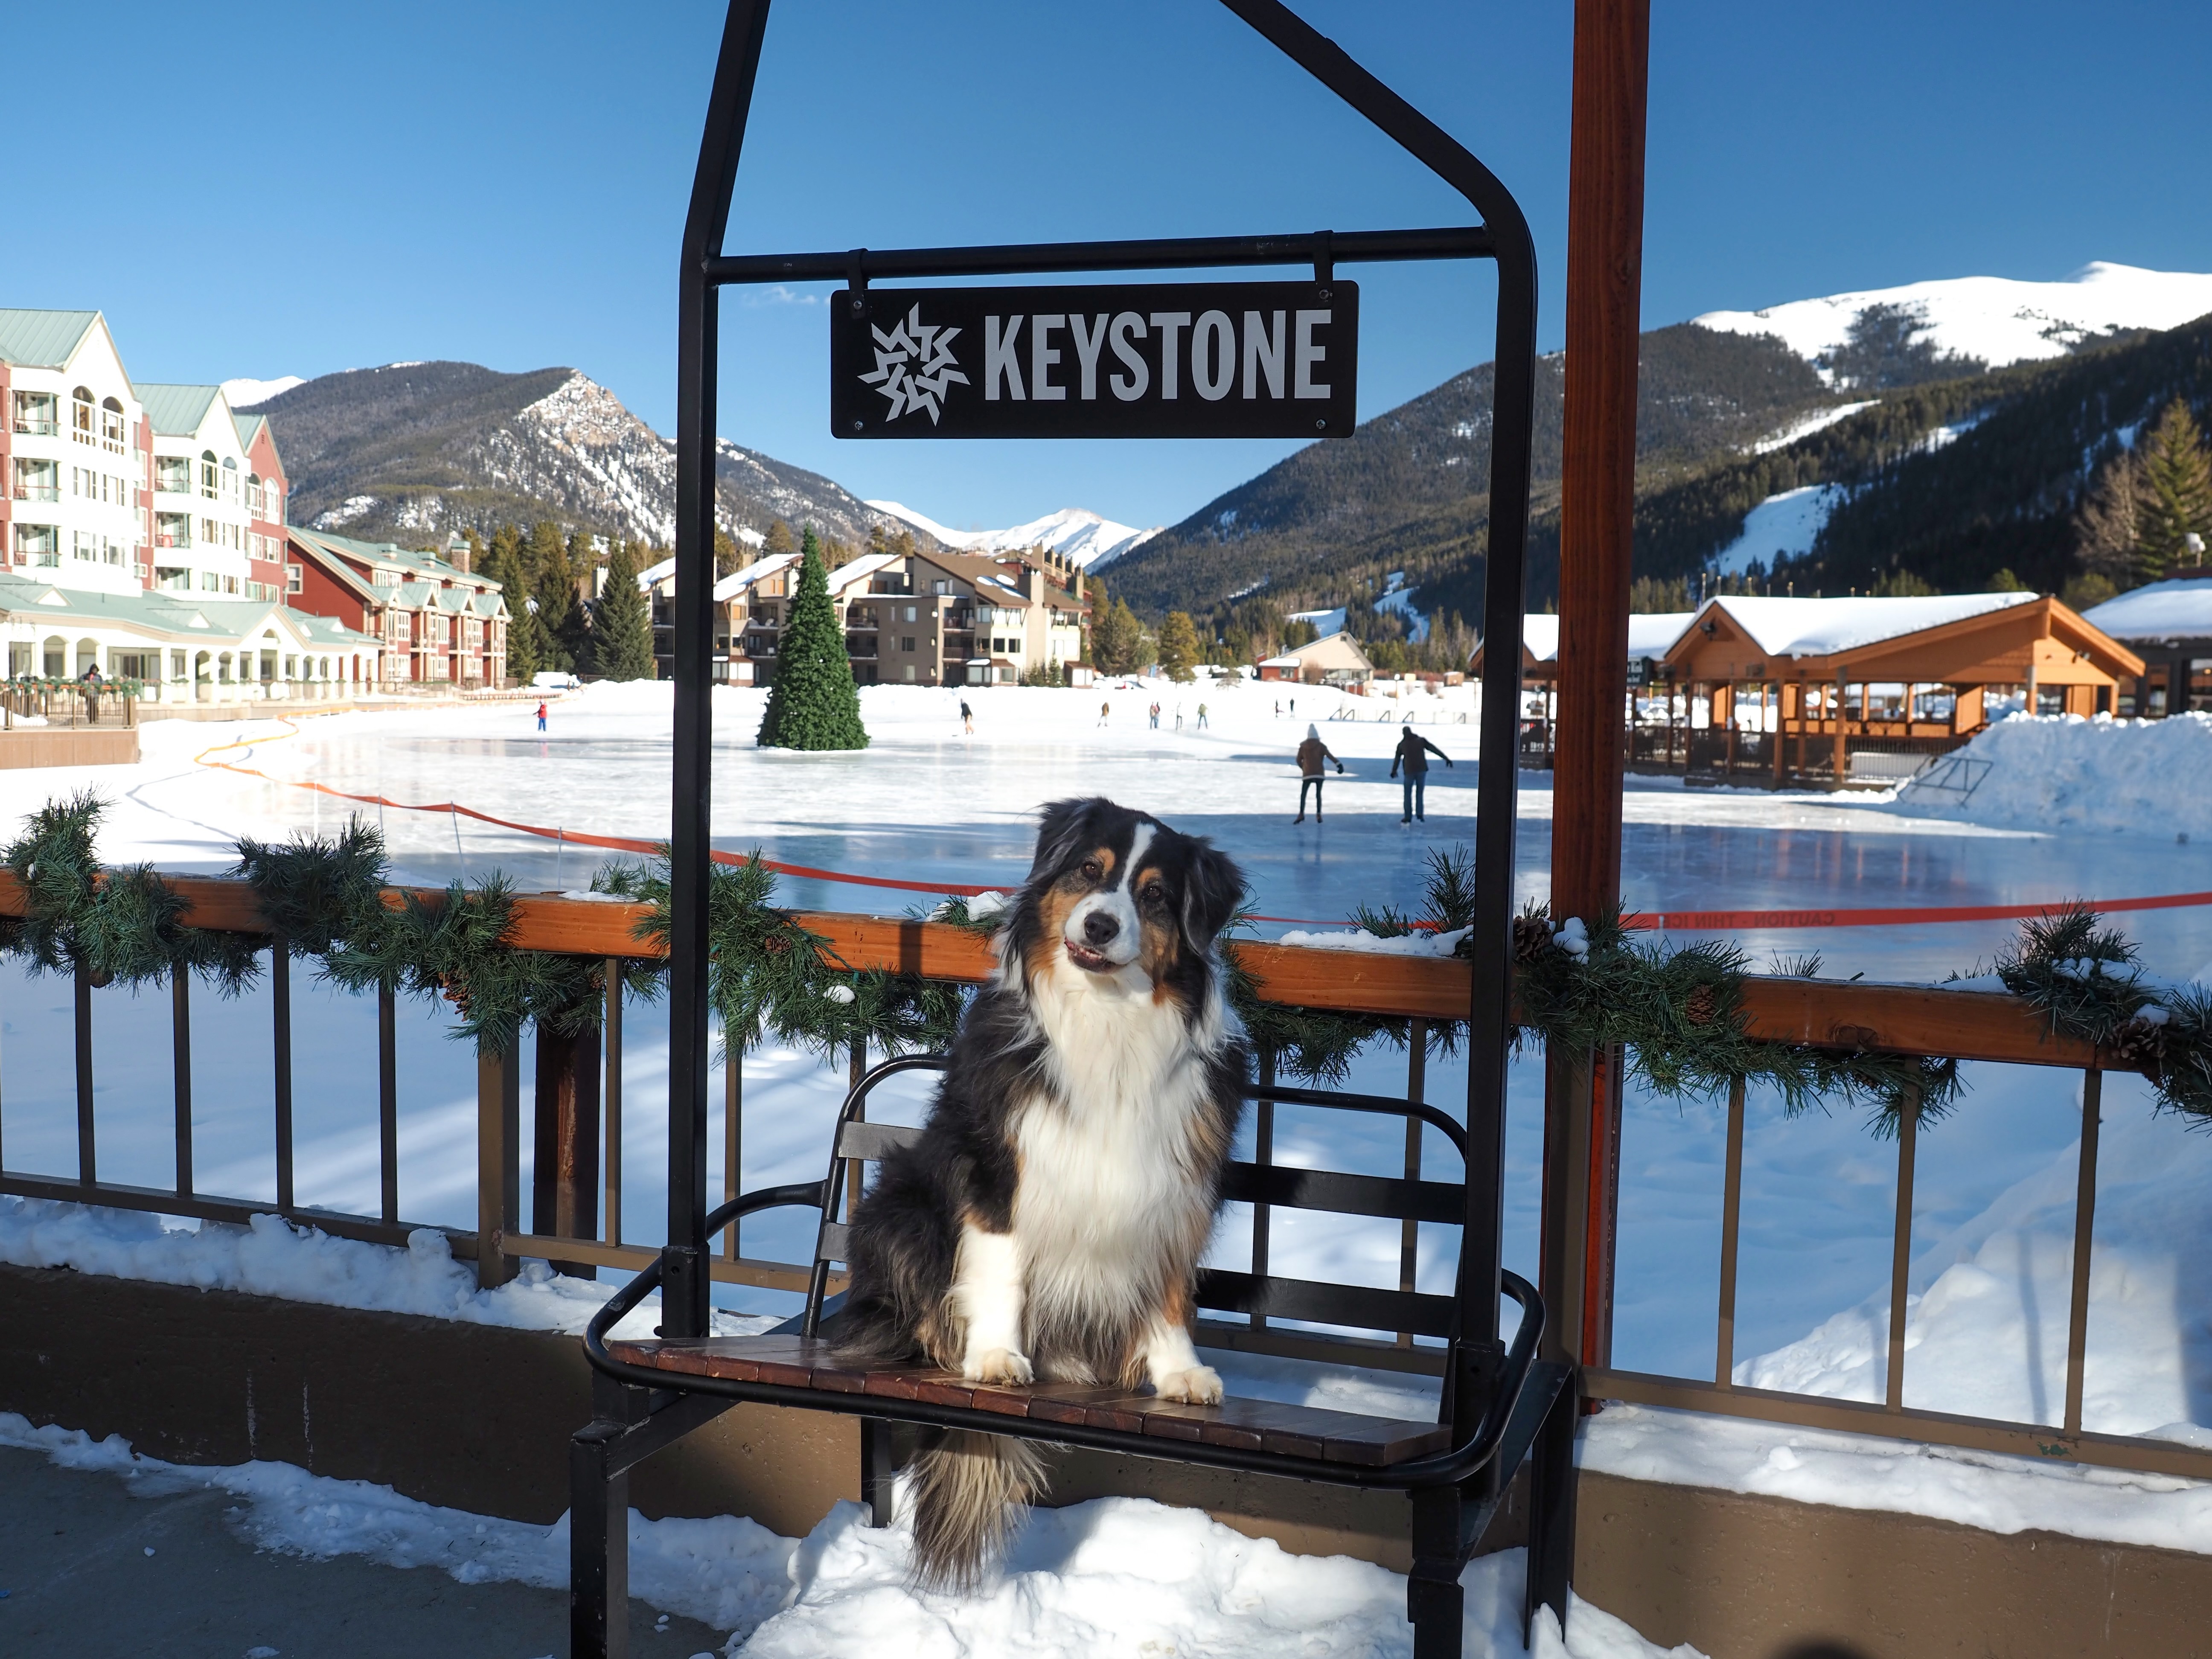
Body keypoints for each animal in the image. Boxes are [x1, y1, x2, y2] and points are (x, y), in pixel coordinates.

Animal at [832, 800, 1247, 1592]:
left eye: (1154, 895)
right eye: (1088, 870)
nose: (1099, 925)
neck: (1107, 1019)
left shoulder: (1177, 1182)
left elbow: (1169, 1285)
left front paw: (1178, 1369)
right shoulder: (995, 1172)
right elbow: (1000, 1273)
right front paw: (994, 1356)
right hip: (896, 1206)